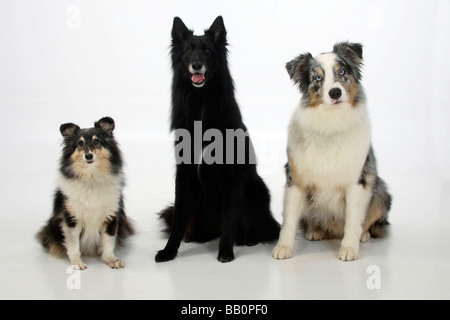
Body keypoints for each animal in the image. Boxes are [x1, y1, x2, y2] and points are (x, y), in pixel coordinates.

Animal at [37, 116, 134, 268]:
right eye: (80, 143)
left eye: (97, 141)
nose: (88, 156)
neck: (92, 178)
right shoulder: (71, 219)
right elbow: (73, 244)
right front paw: (77, 263)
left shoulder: (111, 215)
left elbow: (108, 242)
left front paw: (111, 259)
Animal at [156, 16, 282, 264]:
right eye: (188, 50)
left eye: (207, 51)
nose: (197, 65)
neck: (200, 103)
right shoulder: (184, 175)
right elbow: (178, 220)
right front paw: (169, 250)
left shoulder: (230, 176)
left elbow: (228, 219)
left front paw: (225, 251)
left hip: (257, 188)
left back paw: (247, 239)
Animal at [272, 42, 392, 262]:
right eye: (318, 78)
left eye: (342, 71)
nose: (335, 92)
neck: (331, 123)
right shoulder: (296, 179)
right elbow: (289, 220)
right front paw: (283, 247)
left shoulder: (357, 180)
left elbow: (353, 219)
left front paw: (349, 248)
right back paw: (316, 231)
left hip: (380, 191)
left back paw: (362, 235)